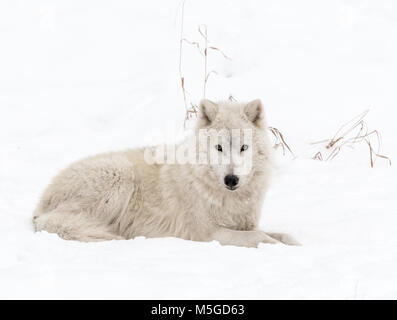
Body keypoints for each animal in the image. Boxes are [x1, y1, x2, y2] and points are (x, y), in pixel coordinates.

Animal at [32, 100, 296, 248]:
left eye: (244, 147)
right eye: (219, 147)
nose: (231, 179)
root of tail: (39, 207)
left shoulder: (245, 225)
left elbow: (279, 234)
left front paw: (293, 242)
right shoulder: (207, 233)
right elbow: (260, 237)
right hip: (119, 177)